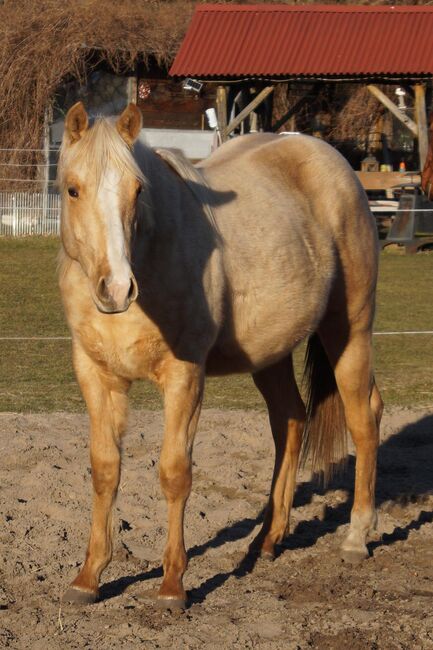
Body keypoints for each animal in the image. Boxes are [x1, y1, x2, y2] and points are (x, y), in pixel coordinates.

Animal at [57, 101, 382, 608]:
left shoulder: (185, 376)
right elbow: (105, 469)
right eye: (73, 189)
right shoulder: (96, 376)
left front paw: (173, 585)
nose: (117, 288)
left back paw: (355, 538)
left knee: (363, 419)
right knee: (291, 421)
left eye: (137, 190)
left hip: (350, 330)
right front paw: (89, 577)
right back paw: (267, 541)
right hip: (271, 353)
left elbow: (175, 473)